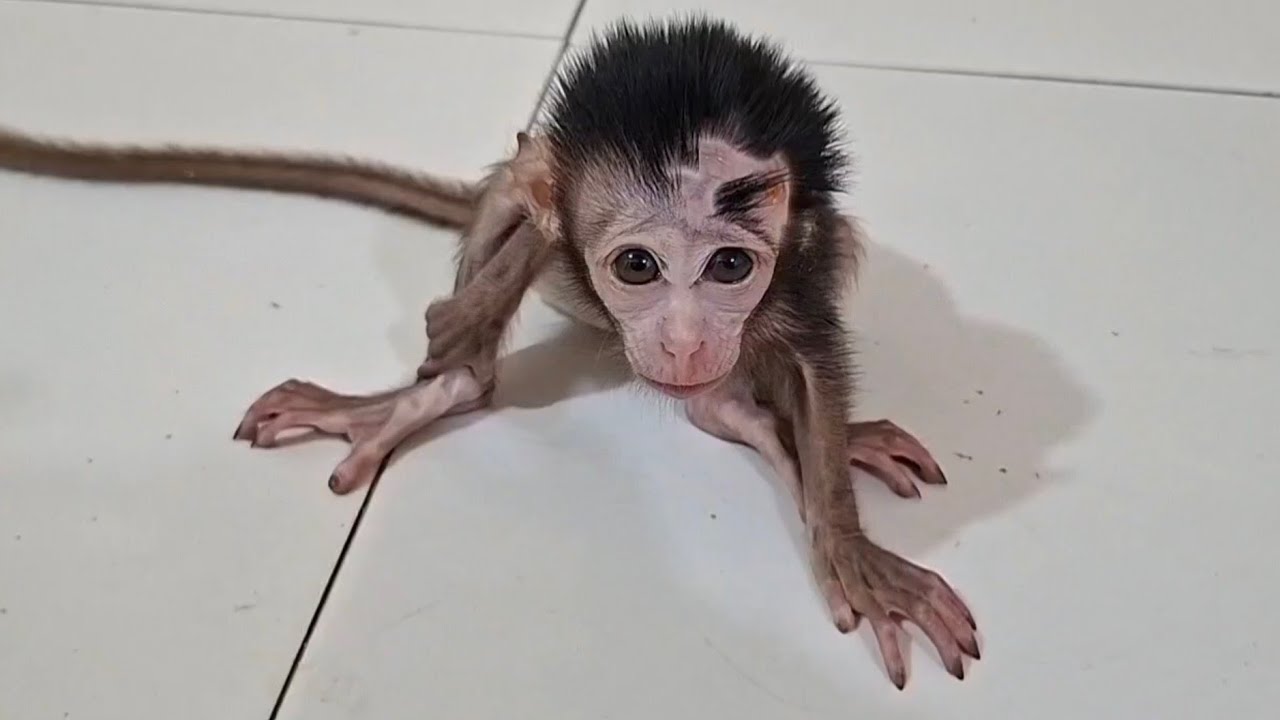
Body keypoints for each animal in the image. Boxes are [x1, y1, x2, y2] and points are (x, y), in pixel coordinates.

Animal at [0, 16, 978, 689]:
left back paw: (754, 417)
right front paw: (540, 206)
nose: (688, 338)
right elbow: (475, 279)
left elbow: (814, 363)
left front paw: (848, 540)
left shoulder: (803, 262)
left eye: (731, 265)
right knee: (479, 316)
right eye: (639, 266)